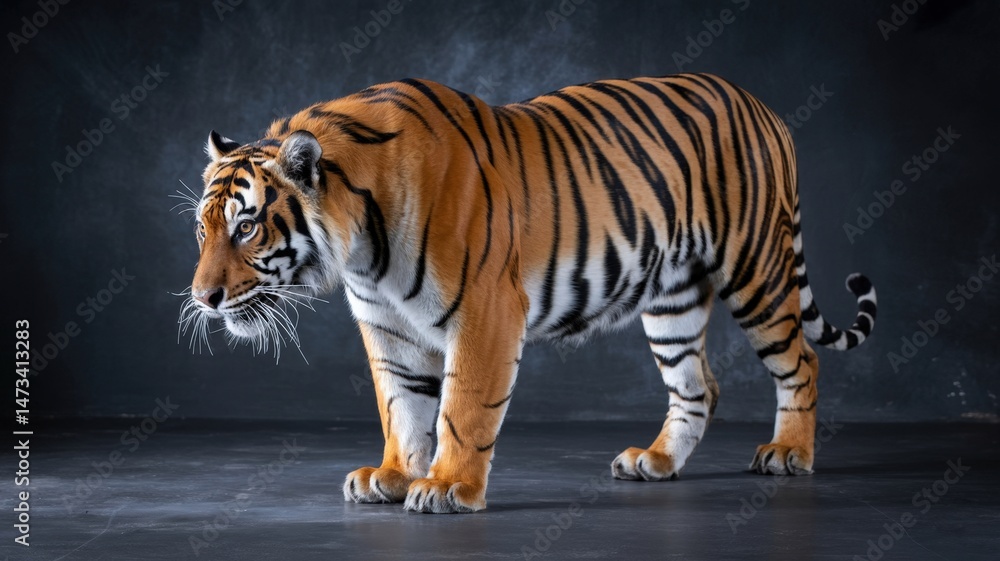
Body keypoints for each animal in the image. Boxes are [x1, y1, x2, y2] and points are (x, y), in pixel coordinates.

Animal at [180, 72, 877, 514]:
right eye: (204, 229)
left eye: (246, 227)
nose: (204, 299)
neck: (362, 249)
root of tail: (764, 107)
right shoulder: (387, 327)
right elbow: (401, 407)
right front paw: (394, 476)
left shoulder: (486, 312)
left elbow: (462, 407)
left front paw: (447, 488)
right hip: (672, 298)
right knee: (697, 384)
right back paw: (655, 461)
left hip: (756, 268)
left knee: (801, 360)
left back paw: (789, 452)